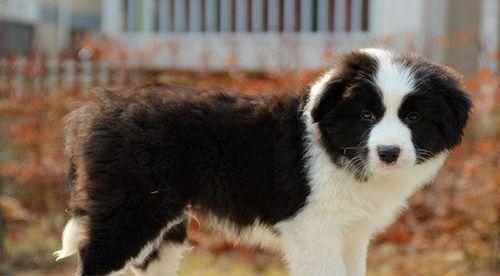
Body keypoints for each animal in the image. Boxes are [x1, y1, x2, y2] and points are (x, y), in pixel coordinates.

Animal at [55, 49, 472, 276]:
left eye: (414, 117)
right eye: (367, 115)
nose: (389, 153)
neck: (330, 144)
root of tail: (91, 112)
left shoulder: (351, 234)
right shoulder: (313, 228)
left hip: (161, 222)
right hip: (131, 209)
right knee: (97, 258)